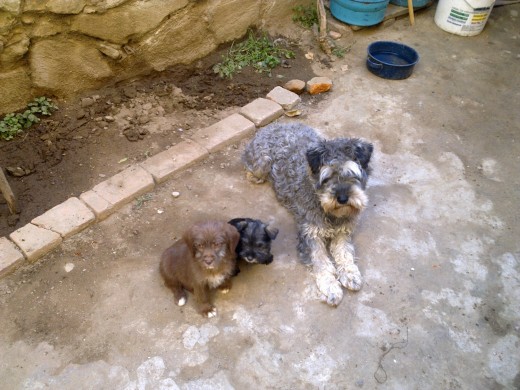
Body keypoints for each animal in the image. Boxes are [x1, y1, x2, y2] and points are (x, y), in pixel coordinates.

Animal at [242, 123, 372, 306]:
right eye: (327, 178)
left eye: (352, 174)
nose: (342, 198)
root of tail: (275, 125)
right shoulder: (311, 235)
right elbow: (321, 262)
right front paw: (330, 288)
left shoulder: (343, 231)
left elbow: (344, 252)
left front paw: (350, 273)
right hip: (262, 163)